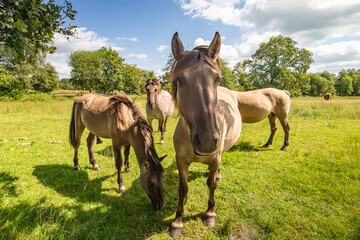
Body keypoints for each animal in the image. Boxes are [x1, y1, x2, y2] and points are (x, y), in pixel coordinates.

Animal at [169, 31, 242, 236]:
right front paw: (178, 220)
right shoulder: (181, 161)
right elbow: (183, 187)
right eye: (180, 80)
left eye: (217, 79)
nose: (207, 140)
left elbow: (212, 185)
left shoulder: (216, 157)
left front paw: (210, 213)